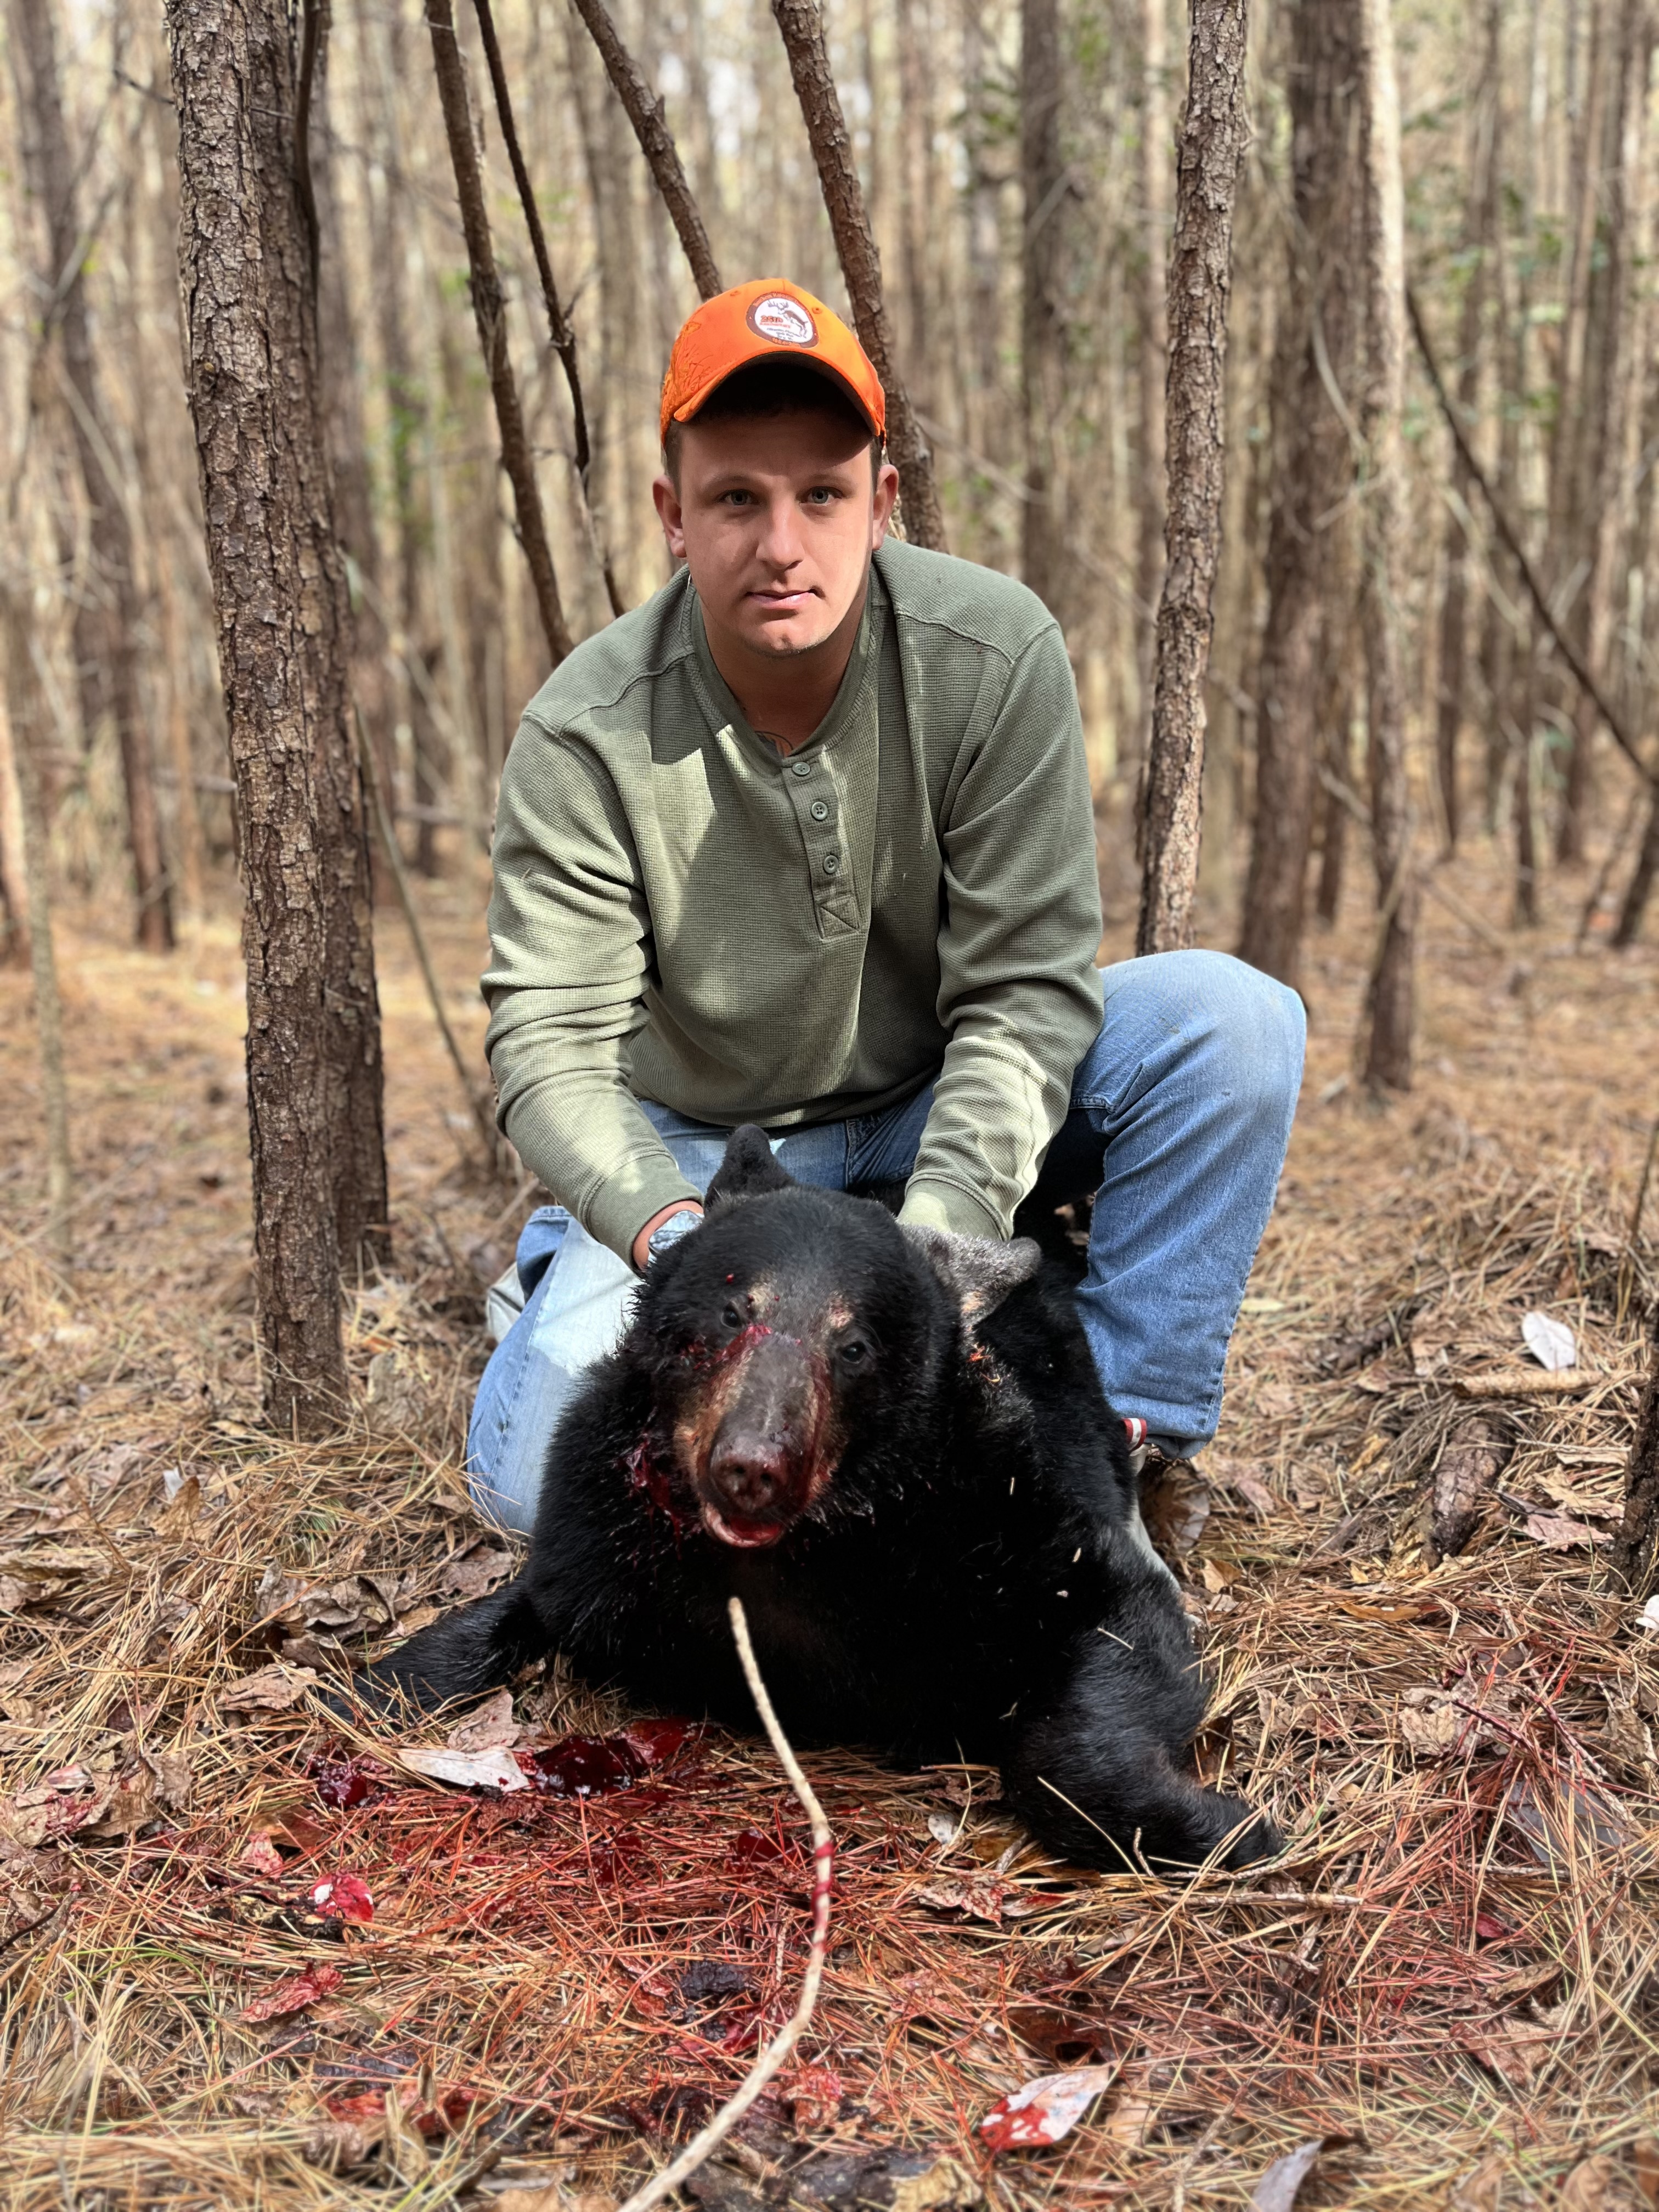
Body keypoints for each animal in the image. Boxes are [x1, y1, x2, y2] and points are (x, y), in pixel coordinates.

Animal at [353, 1125, 1279, 1873]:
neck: (795, 1555)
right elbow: (512, 1610)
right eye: (733, 1311)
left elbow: (1111, 1656)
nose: (752, 1467)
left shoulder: (1015, 1531)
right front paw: (365, 1688)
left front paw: (1226, 1825)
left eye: (855, 1345)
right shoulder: (600, 1530)